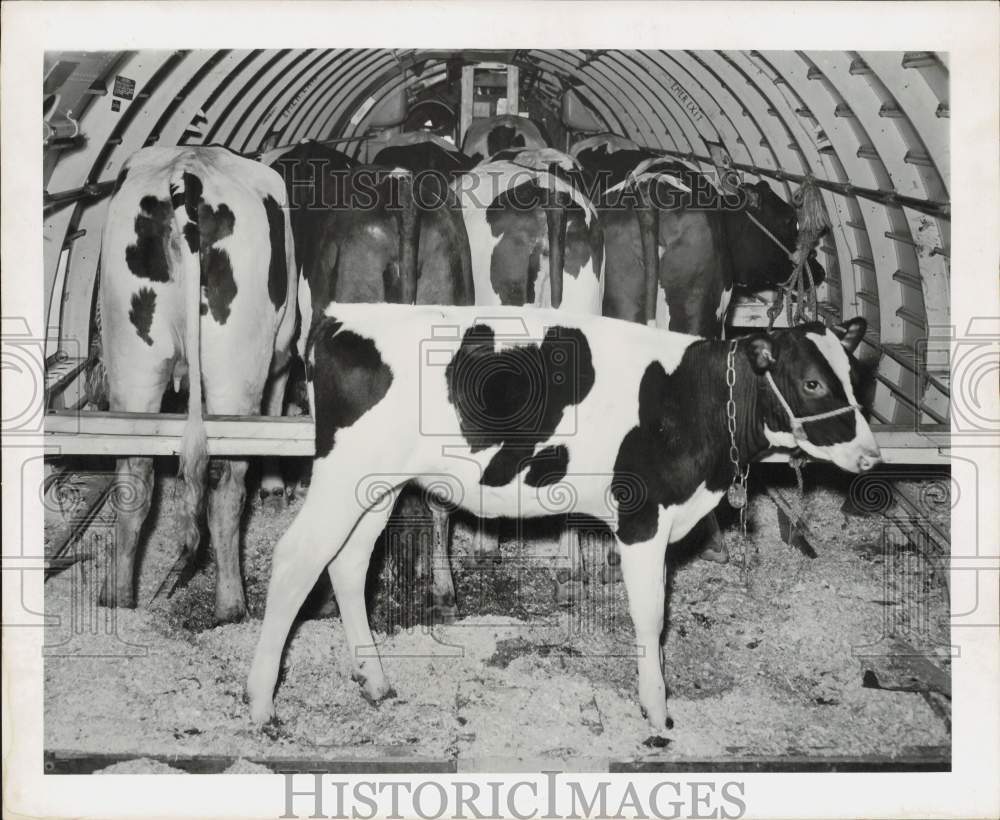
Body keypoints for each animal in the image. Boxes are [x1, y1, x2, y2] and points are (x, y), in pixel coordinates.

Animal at [95, 147, 298, 620]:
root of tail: (184, 175)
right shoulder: (282, 345)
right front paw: (274, 488)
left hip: (131, 362)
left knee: (133, 480)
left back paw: (119, 599)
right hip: (235, 370)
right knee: (227, 489)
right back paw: (232, 605)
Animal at [246, 302, 880, 736]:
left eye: (855, 378)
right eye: (812, 381)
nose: (872, 455)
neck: (693, 401)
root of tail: (338, 317)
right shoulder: (642, 516)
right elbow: (651, 618)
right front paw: (657, 709)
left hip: (375, 486)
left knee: (348, 564)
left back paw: (375, 681)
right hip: (343, 476)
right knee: (297, 559)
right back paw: (260, 704)